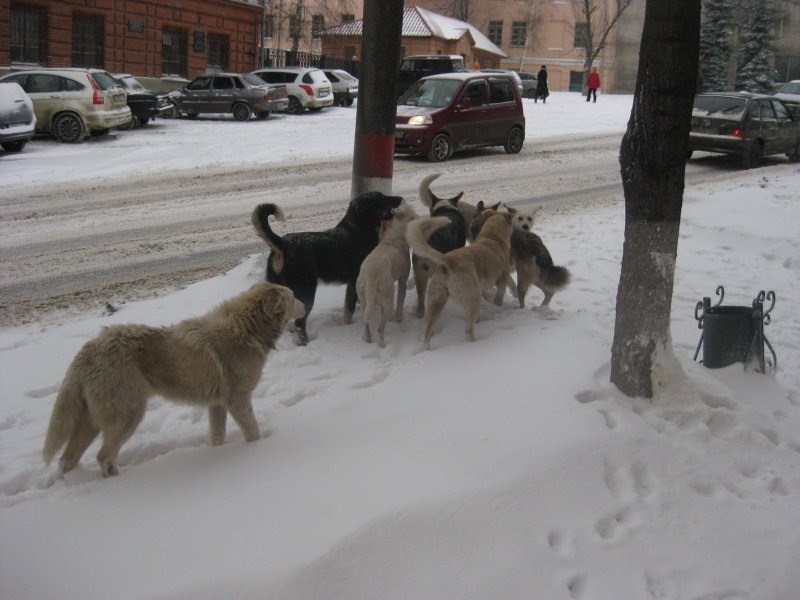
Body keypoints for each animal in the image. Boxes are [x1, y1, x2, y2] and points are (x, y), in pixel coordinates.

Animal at [42, 282, 304, 478]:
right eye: (293, 297)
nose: (304, 304)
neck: (246, 328)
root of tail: (91, 348)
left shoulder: (216, 405)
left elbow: (217, 437)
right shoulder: (237, 400)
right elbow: (253, 431)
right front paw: (256, 451)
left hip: (92, 422)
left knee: (66, 459)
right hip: (127, 416)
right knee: (103, 456)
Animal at [252, 192, 400, 342]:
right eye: (379, 197)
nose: (400, 198)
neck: (358, 228)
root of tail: (282, 243)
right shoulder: (353, 282)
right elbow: (349, 311)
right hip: (307, 294)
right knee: (300, 323)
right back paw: (306, 341)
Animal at [358, 200, 418, 346]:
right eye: (413, 216)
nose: (420, 217)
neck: (395, 236)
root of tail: (371, 277)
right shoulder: (402, 281)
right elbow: (401, 301)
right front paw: (398, 319)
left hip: (364, 301)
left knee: (366, 324)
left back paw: (368, 339)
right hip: (387, 300)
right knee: (380, 329)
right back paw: (382, 345)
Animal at [406, 204, 512, 350]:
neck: (492, 236)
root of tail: (448, 260)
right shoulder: (502, 279)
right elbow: (499, 295)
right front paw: (498, 305)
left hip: (435, 300)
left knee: (427, 330)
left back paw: (426, 348)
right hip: (472, 297)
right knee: (468, 330)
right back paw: (475, 343)